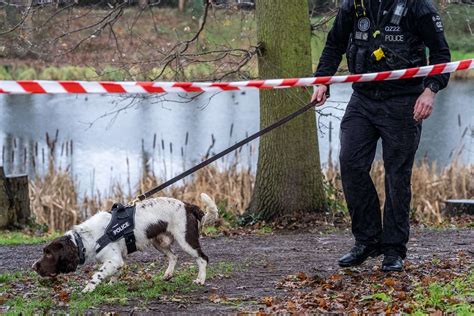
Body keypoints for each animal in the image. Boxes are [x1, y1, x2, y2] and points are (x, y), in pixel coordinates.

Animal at [31, 191, 218, 292]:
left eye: (49, 254)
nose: (33, 267)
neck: (85, 239)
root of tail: (188, 205)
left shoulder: (114, 260)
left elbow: (97, 274)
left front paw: (88, 288)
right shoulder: (118, 260)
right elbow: (114, 274)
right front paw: (111, 284)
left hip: (186, 240)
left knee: (202, 258)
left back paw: (200, 280)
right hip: (159, 242)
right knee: (173, 256)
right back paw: (168, 274)